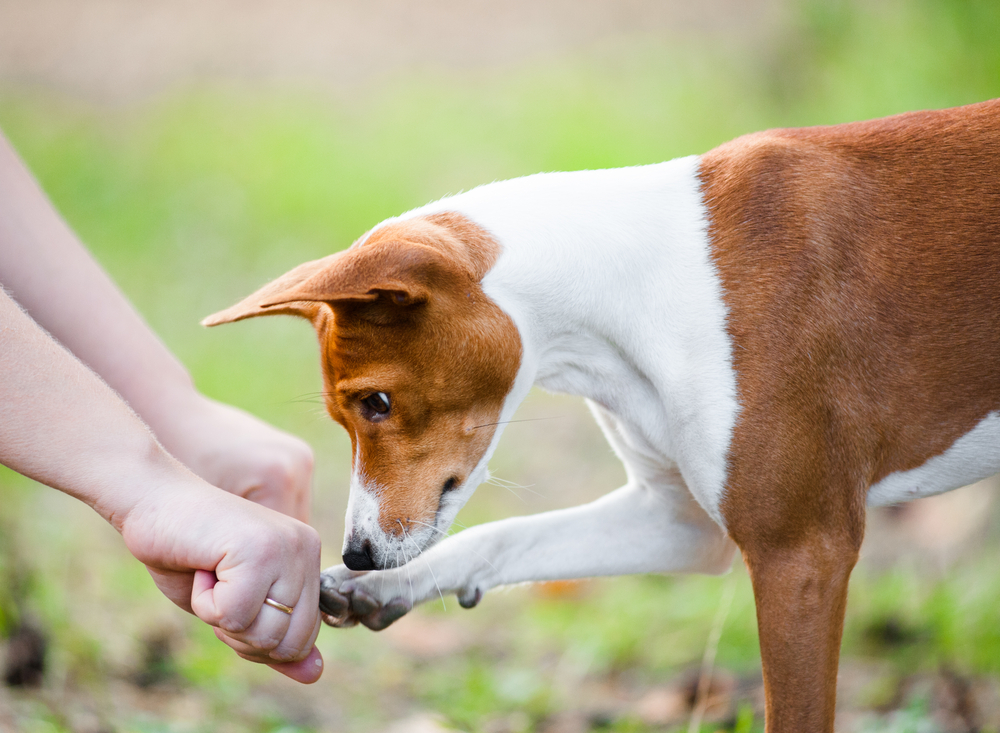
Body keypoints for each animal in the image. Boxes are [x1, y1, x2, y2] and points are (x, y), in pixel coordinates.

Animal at [203, 98, 1000, 732]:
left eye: (377, 402)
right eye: (346, 417)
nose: (359, 552)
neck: (639, 283)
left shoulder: (802, 552)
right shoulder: (681, 524)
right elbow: (509, 536)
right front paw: (381, 587)